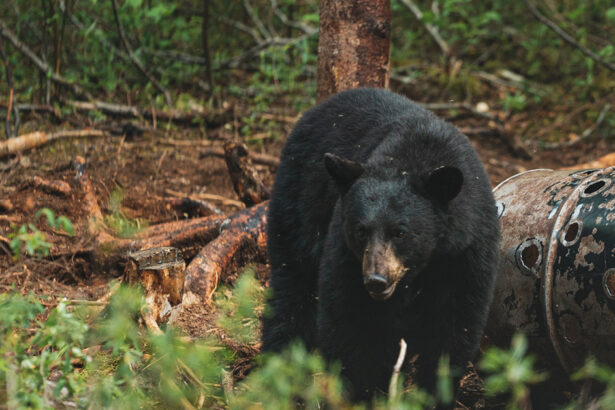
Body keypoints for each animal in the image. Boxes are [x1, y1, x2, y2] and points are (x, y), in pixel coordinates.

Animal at [260, 87, 500, 400]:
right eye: (361, 230)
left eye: (401, 232)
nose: (376, 280)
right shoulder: (345, 252)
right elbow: (349, 323)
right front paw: (362, 393)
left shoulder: (465, 254)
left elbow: (453, 329)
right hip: (299, 205)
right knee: (291, 285)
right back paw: (279, 366)